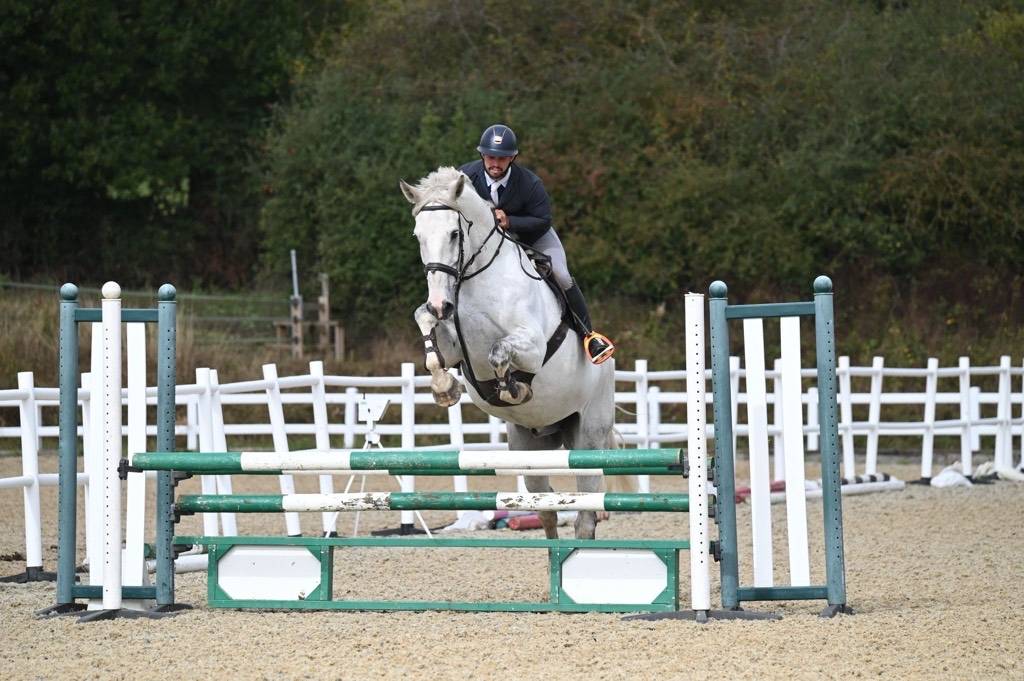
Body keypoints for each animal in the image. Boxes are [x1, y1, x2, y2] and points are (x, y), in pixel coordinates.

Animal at [400, 166, 616, 540]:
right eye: (418, 236)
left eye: (455, 234)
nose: (442, 304)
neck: (475, 278)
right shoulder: (454, 346)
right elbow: (425, 325)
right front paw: (445, 388)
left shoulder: (532, 346)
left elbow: (499, 352)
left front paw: (513, 388)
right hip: (529, 448)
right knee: (545, 504)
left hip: (589, 436)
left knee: (586, 510)